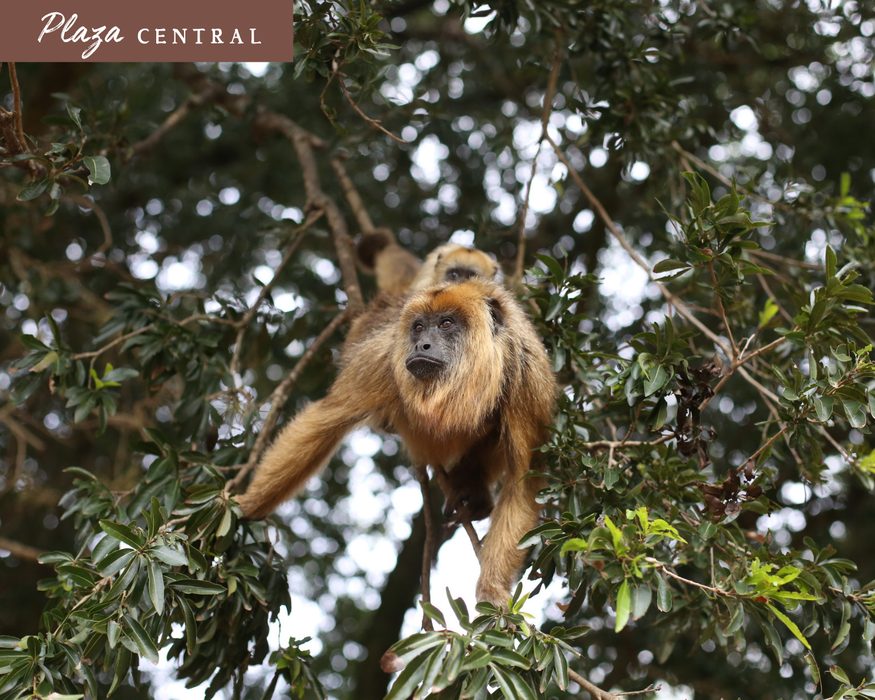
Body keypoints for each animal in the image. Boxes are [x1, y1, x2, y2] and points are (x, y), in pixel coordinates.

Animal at [236, 278, 556, 605]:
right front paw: (246, 506)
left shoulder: (528, 378)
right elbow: (327, 418)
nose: (421, 344)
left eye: (446, 323)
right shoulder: (382, 358)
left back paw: (472, 488)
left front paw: (491, 591)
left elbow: (523, 480)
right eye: (418, 327)